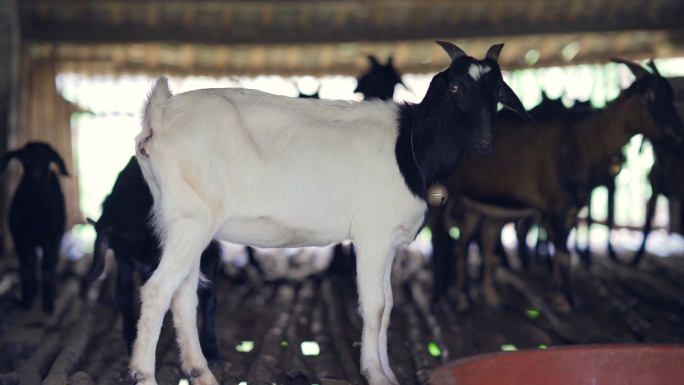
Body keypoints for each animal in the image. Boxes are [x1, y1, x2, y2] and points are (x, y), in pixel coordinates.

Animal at [0, 141, 69, 312]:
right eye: (25, 157)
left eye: (49, 157)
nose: (37, 174)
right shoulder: (19, 237)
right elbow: (26, 267)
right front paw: (26, 300)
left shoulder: (52, 238)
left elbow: (47, 267)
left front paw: (48, 303)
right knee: (31, 265)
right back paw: (34, 290)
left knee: (53, 262)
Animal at [87, 157, 222, 364]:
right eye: (135, 257)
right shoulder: (122, 258)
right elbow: (123, 291)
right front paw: (131, 340)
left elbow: (207, 295)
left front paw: (211, 349)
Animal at [128, 42, 528, 384]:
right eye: (455, 87)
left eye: (497, 91)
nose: (484, 143)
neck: (410, 147)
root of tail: (160, 115)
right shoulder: (372, 236)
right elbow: (375, 305)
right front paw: (376, 374)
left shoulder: (387, 242)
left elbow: (389, 305)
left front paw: (387, 373)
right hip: (191, 222)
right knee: (158, 290)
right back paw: (144, 374)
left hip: (185, 224)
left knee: (183, 297)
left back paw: (202, 373)